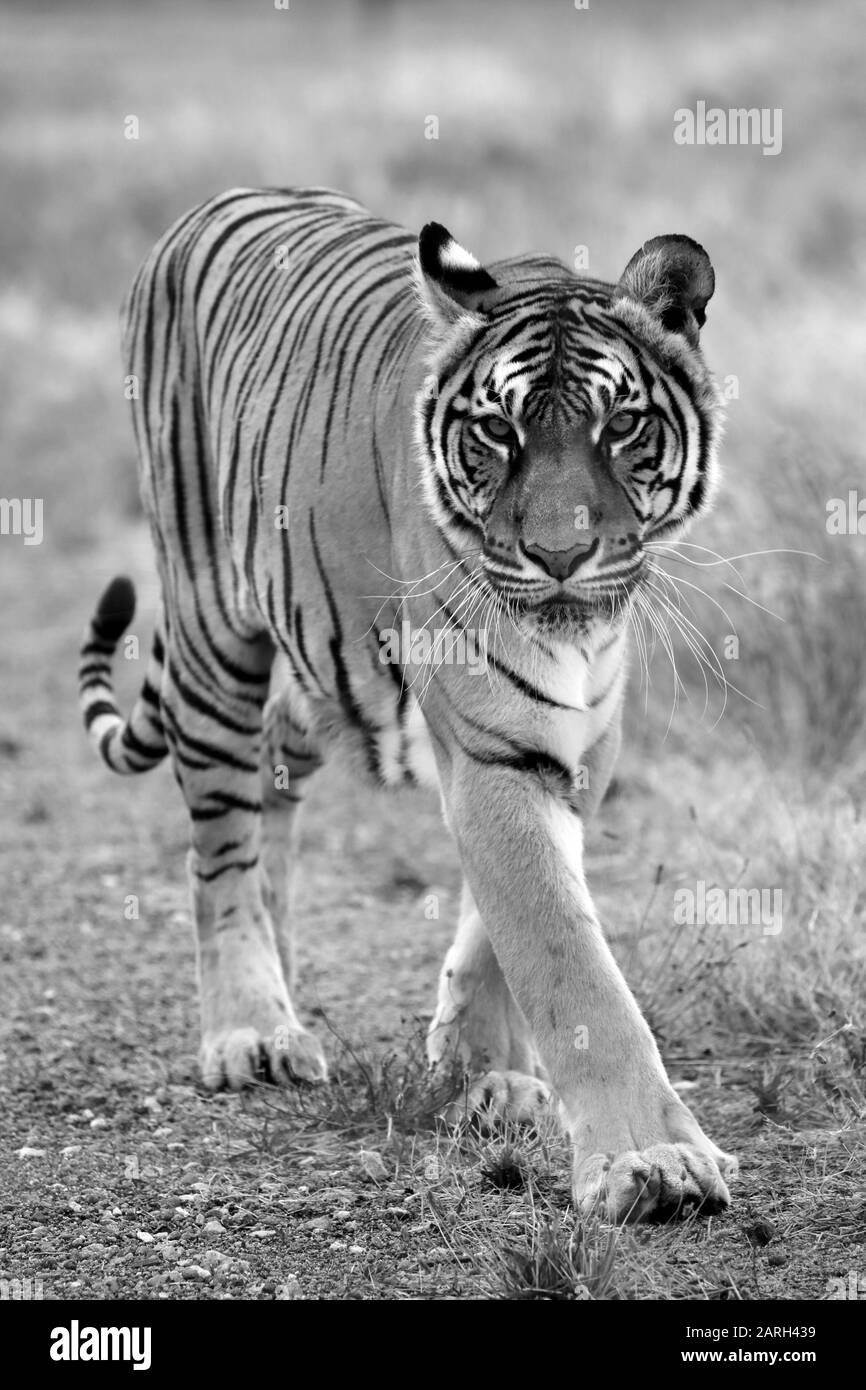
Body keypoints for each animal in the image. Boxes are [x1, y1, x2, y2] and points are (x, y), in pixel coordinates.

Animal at [78, 186, 737, 1222]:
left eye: (620, 424)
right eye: (498, 431)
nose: (559, 555)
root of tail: (212, 204)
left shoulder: (580, 743)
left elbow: (505, 923)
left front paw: (481, 1067)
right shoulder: (496, 747)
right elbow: (570, 963)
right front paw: (652, 1162)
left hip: (312, 663)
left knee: (270, 792)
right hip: (210, 623)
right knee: (218, 846)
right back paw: (251, 1030)